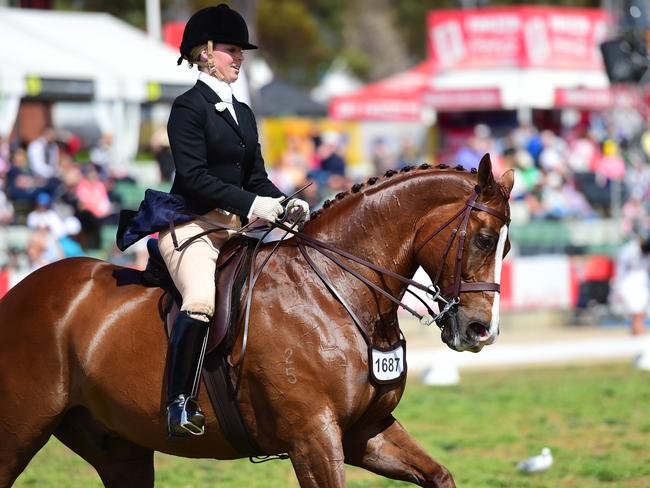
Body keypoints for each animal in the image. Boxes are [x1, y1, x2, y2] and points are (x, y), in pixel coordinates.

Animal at [1, 154, 512, 486]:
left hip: (117, 446)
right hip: (20, 431)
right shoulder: (312, 438)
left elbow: (439, 475)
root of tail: (20, 292)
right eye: (484, 239)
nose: (480, 331)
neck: (337, 290)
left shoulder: (363, 432)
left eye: (506, 246)